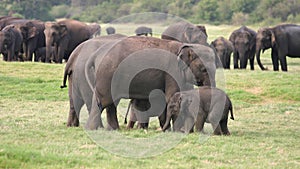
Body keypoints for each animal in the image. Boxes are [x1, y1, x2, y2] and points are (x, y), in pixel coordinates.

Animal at [85, 36, 217, 130]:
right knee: (104, 101)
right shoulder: (172, 72)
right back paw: (94, 129)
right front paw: (174, 130)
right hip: (107, 75)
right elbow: (171, 96)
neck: (184, 46)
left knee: (108, 103)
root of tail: (95, 55)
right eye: (203, 69)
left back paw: (112, 129)